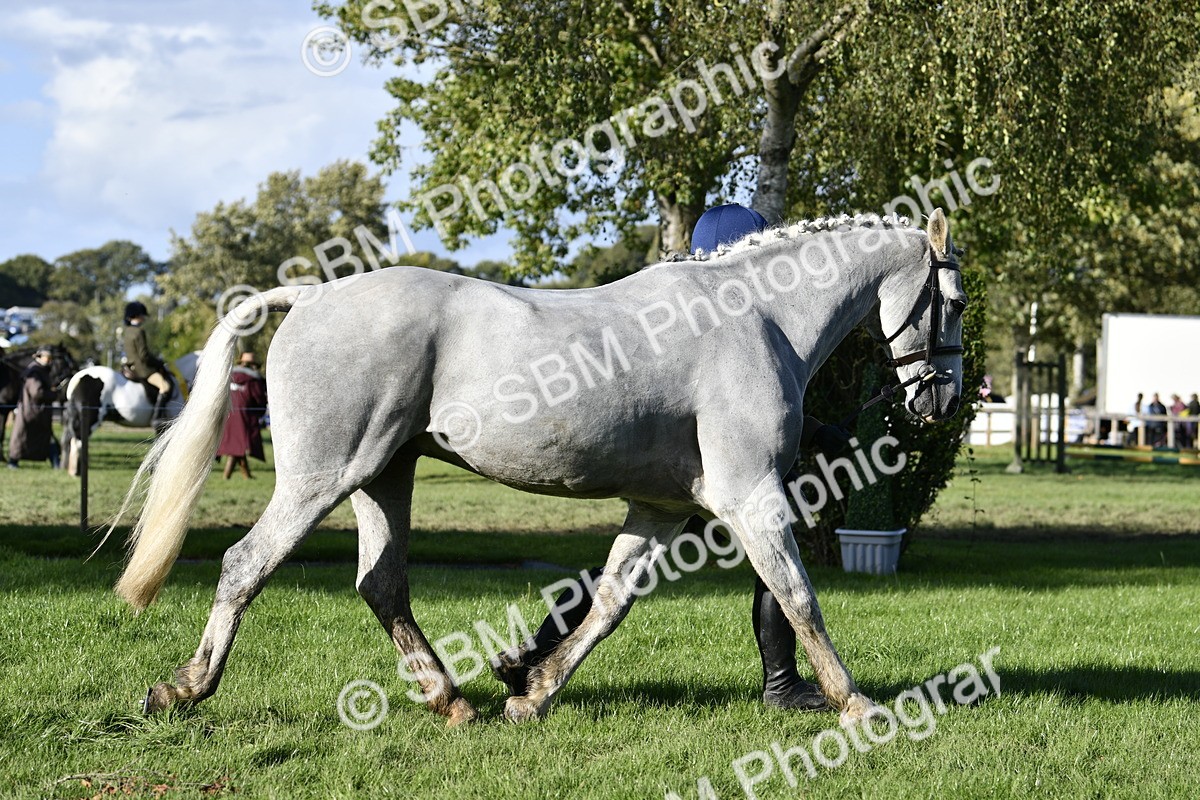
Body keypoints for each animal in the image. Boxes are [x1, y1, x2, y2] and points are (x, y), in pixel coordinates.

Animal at [111, 209, 967, 728]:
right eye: (953, 301)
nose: (941, 399)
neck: (755, 318)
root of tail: (314, 296)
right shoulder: (749, 497)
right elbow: (797, 597)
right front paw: (856, 704)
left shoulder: (660, 510)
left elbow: (609, 605)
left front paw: (532, 692)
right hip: (323, 477)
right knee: (245, 563)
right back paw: (184, 688)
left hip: (384, 476)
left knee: (381, 584)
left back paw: (451, 701)